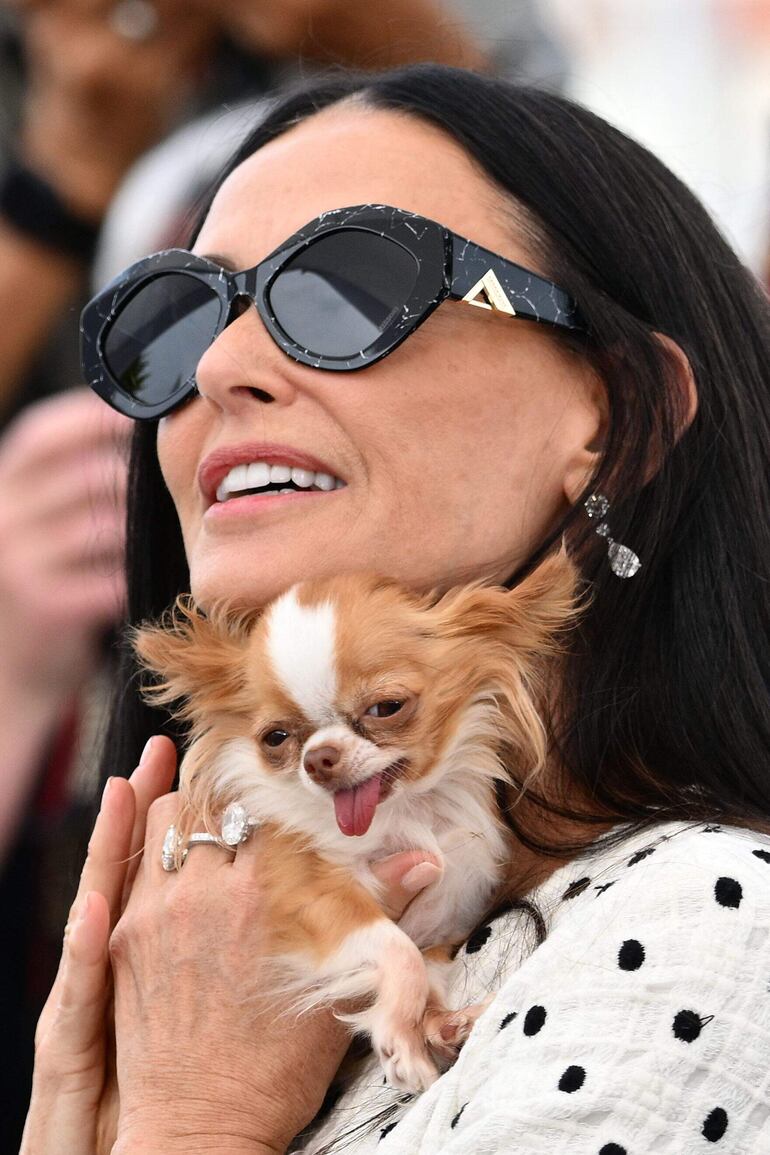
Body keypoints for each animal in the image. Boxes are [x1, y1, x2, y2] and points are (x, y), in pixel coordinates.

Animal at [133, 549, 577, 1090]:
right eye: (275, 738)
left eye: (386, 707)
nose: (318, 758)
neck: (402, 815)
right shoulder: (314, 897)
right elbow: (399, 952)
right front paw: (400, 1041)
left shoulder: (443, 919)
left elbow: (425, 967)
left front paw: (439, 1024)